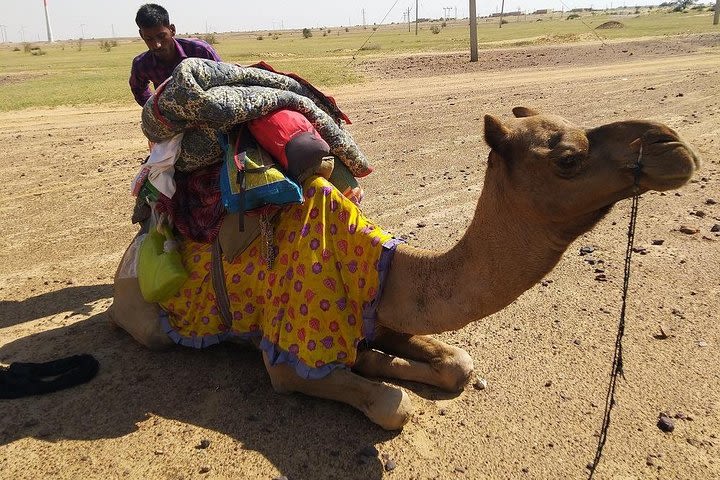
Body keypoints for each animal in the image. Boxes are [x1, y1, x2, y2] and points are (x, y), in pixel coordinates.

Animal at [109, 107, 700, 430]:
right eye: (568, 159)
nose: (674, 145)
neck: (378, 263)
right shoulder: (289, 358)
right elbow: (392, 404)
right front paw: (373, 372)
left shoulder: (380, 305)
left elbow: (457, 361)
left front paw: (376, 358)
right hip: (144, 317)